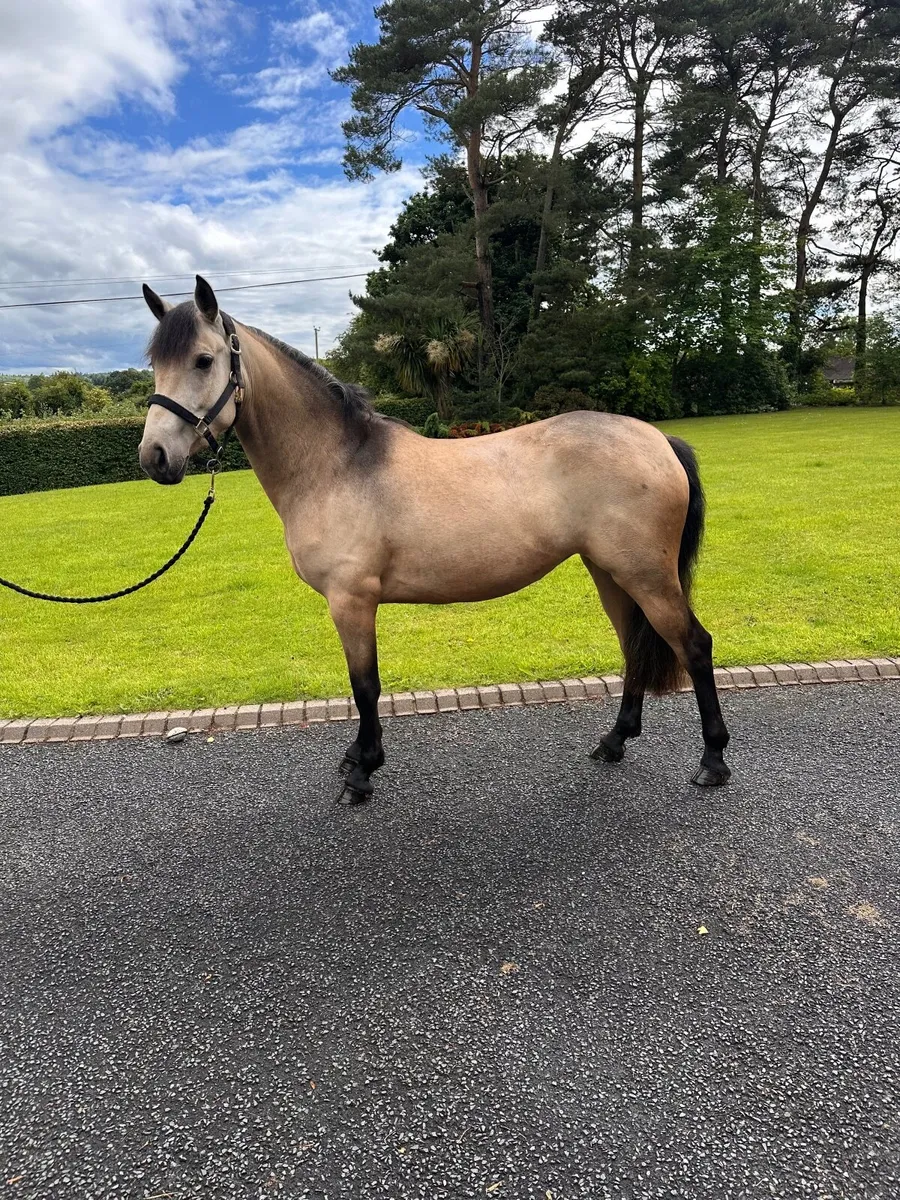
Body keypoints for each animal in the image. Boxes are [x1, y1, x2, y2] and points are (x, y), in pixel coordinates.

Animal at [139, 276, 731, 803]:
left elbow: (365, 686)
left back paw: (713, 761)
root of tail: (658, 438)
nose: (154, 458)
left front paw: (362, 772)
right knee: (633, 645)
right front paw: (356, 759)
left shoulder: (351, 600)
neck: (335, 465)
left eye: (203, 360)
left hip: (645, 575)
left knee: (694, 646)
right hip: (609, 571)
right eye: (155, 363)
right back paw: (614, 741)